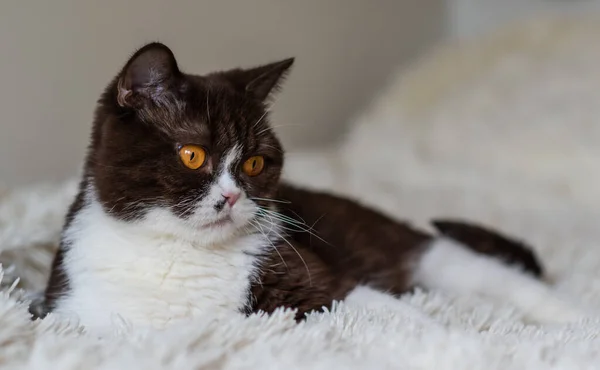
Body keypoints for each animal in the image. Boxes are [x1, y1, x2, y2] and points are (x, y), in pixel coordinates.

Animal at [39, 42, 584, 330]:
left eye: (255, 162)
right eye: (193, 155)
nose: (233, 196)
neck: (182, 255)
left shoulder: (322, 282)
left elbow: (390, 313)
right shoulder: (75, 312)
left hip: (421, 250)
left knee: (497, 278)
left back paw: (571, 318)